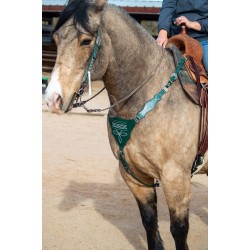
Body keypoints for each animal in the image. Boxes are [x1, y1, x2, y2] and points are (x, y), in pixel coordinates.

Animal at [44, 0, 207, 249]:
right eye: (55, 39)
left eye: (86, 40)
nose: (53, 99)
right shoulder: (134, 175)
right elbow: (149, 223)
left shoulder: (176, 179)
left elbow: (179, 231)